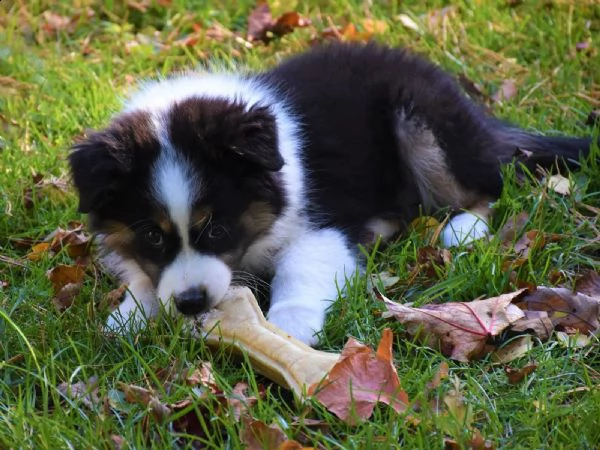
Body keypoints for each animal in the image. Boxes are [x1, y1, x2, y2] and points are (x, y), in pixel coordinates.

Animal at [68, 43, 592, 344]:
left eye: (216, 228)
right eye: (153, 236)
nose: (192, 303)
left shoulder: (322, 222)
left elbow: (301, 266)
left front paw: (290, 324)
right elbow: (145, 277)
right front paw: (131, 314)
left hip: (422, 116)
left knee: (484, 186)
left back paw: (462, 227)